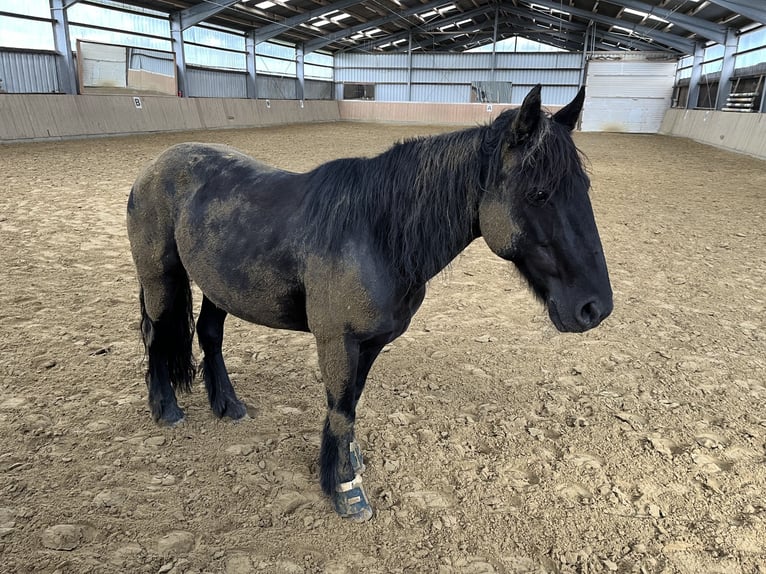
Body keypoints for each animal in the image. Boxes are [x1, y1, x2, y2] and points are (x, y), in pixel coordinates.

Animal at [126, 85, 612, 522]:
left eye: (585, 187)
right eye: (539, 194)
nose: (595, 308)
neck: (375, 233)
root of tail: (155, 166)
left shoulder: (371, 342)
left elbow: (351, 403)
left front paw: (342, 466)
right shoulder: (337, 341)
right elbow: (341, 408)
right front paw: (347, 490)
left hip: (217, 286)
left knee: (209, 334)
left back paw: (227, 405)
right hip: (160, 279)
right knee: (155, 333)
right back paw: (166, 409)